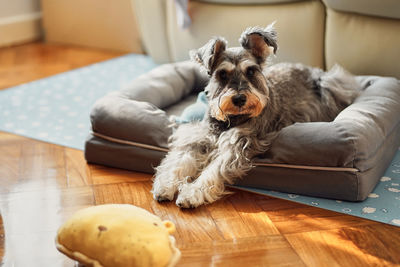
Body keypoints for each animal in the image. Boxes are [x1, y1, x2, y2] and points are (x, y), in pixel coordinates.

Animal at [152, 23, 360, 209]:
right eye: (222, 74)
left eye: (251, 71)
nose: (239, 99)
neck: (231, 120)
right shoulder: (198, 138)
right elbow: (180, 160)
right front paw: (165, 185)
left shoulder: (236, 146)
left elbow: (213, 170)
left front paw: (192, 193)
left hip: (329, 86)